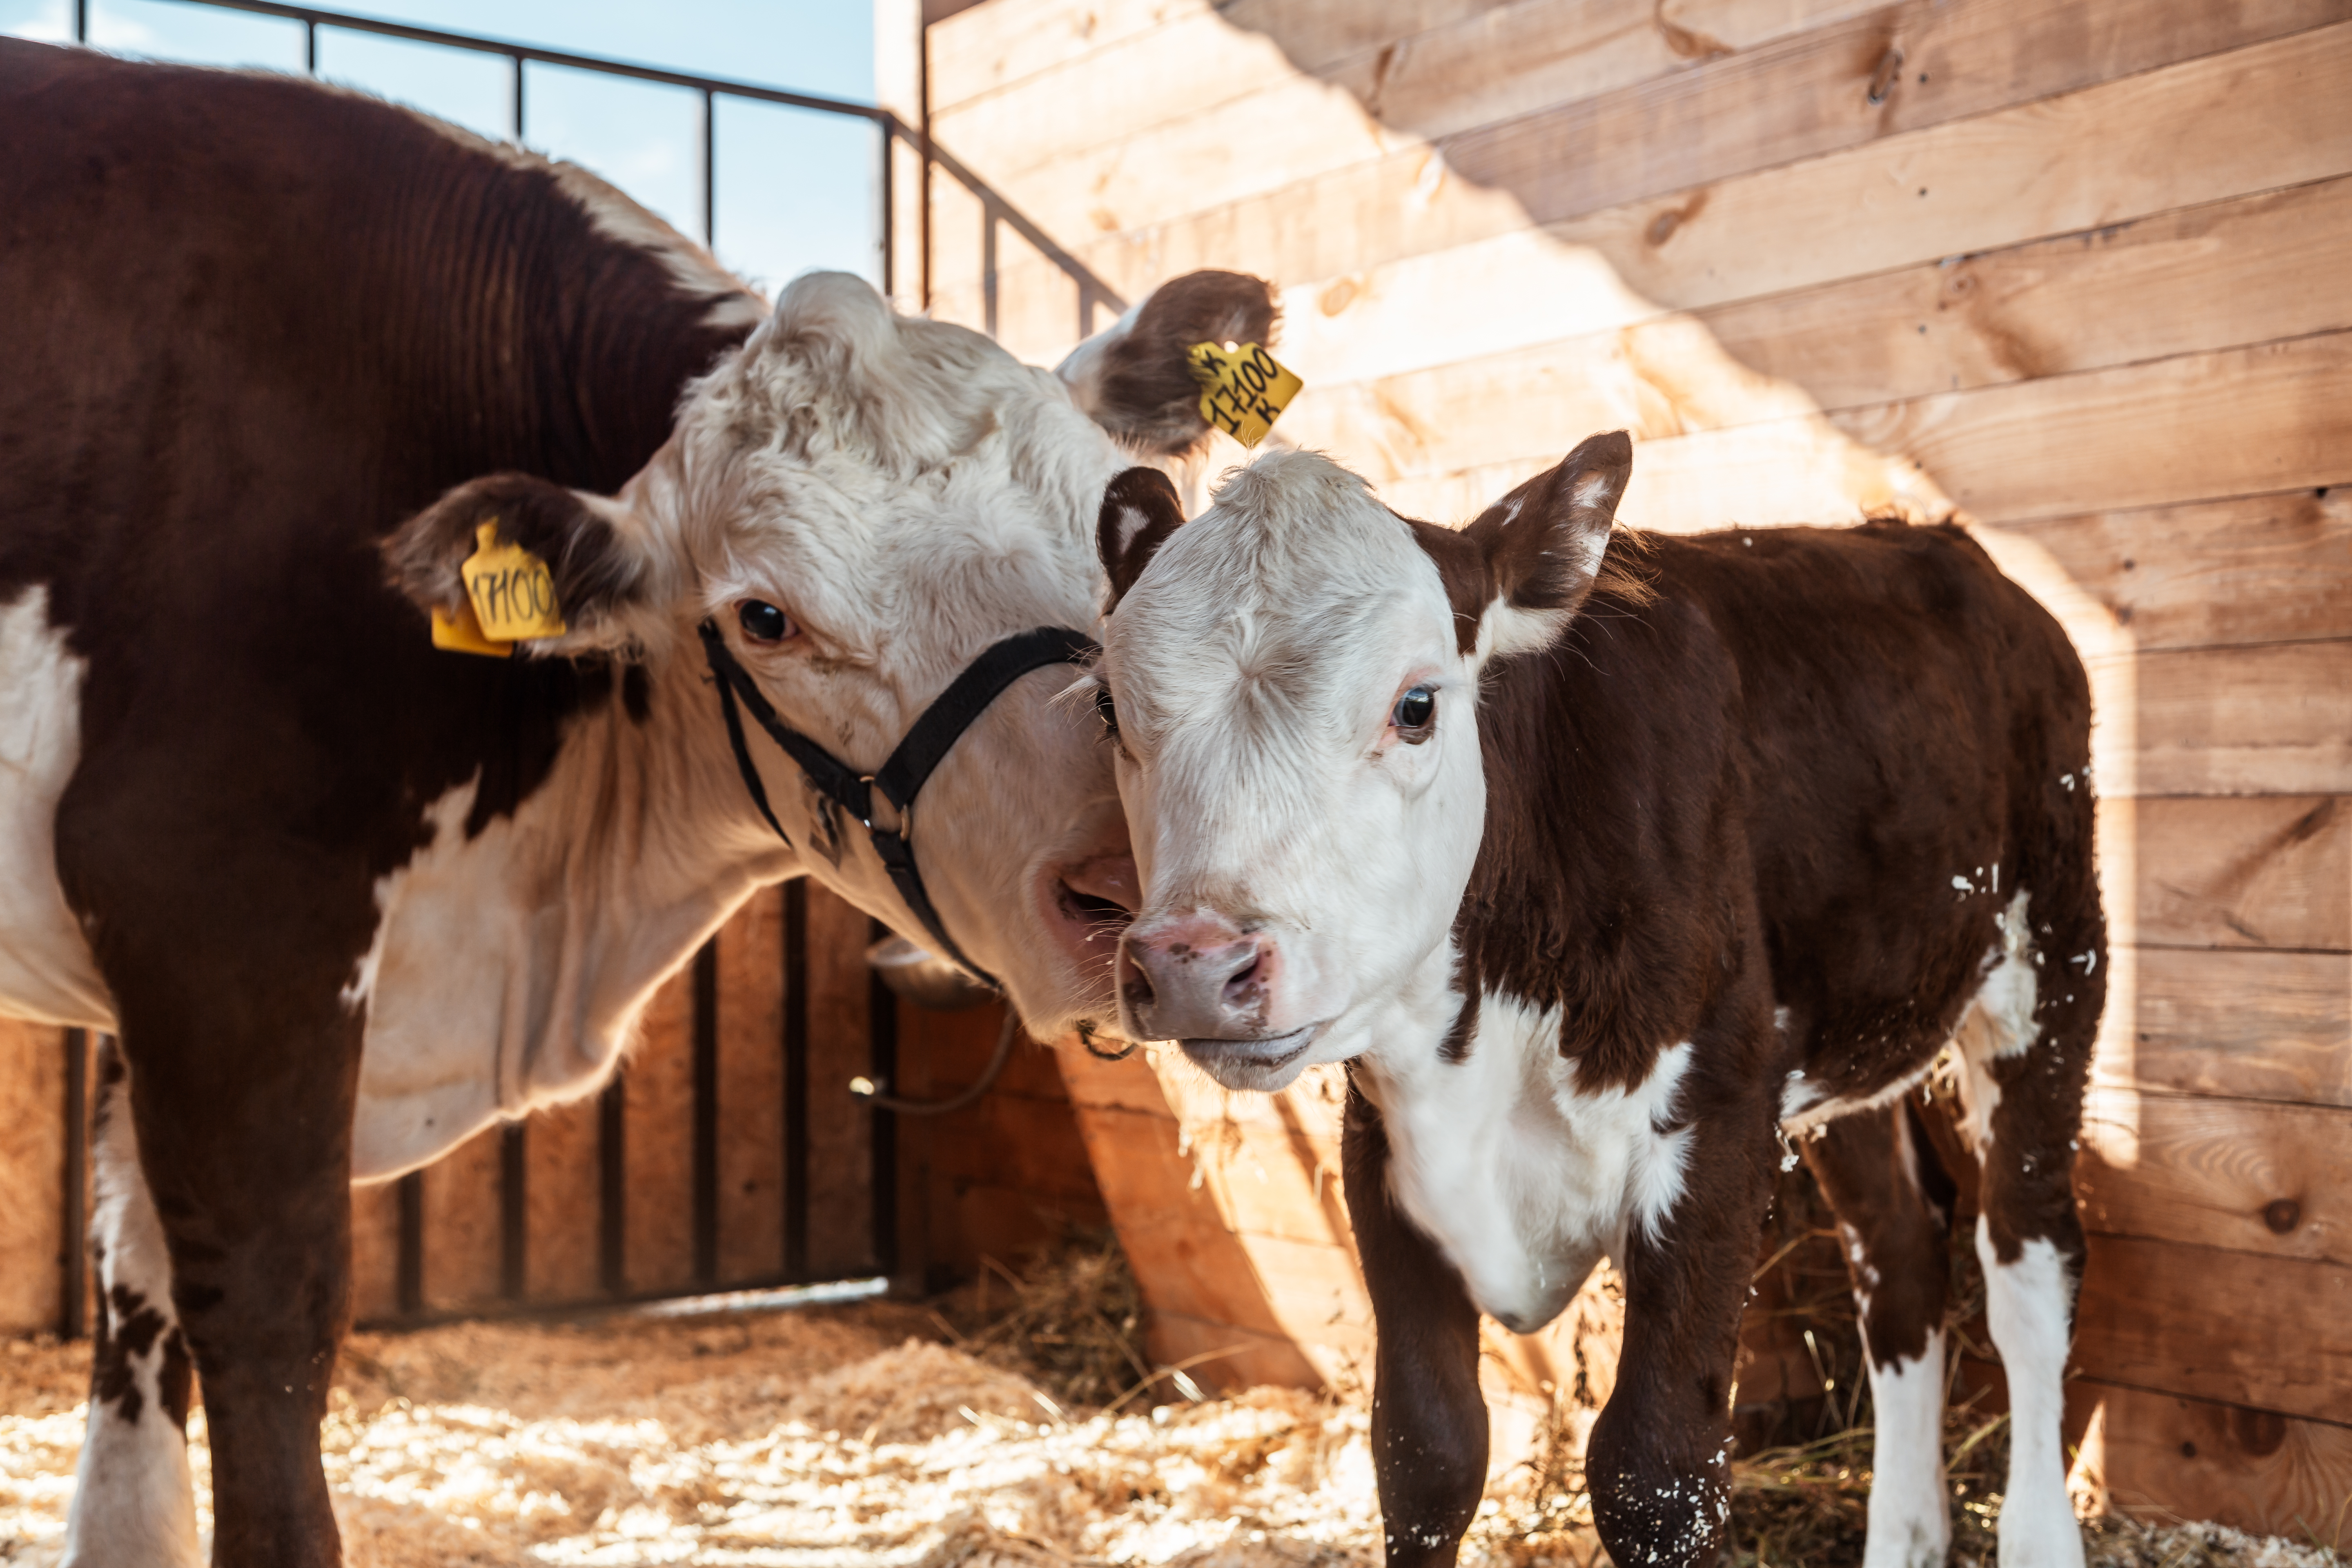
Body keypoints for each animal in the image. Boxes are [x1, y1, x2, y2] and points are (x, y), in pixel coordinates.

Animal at [1091, 432, 2107, 1568]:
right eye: (1108, 709)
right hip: (1836, 1040)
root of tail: (1944, 548)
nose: (1192, 962)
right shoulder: (1382, 1149)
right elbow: (1424, 1453)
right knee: (1898, 1255)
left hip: (2053, 956)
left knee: (2028, 1260)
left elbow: (1655, 1477)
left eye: (1415, 705)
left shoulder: (1717, 1126)